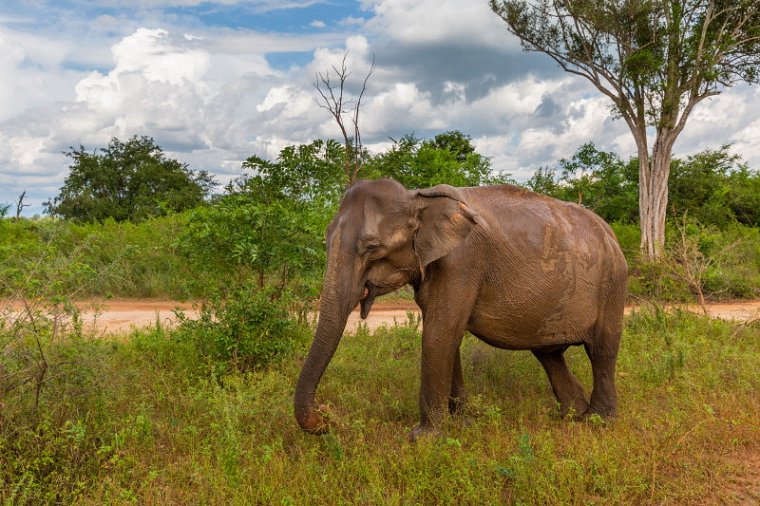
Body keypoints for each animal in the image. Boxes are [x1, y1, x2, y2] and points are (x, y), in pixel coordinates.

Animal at [294, 177, 628, 434]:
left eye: (373, 247)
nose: (328, 415)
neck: (417, 197)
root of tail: (611, 233)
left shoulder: (461, 262)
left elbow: (439, 335)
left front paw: (425, 437)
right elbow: (447, 336)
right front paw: (463, 423)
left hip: (612, 284)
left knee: (601, 350)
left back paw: (599, 421)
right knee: (549, 354)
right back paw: (572, 414)